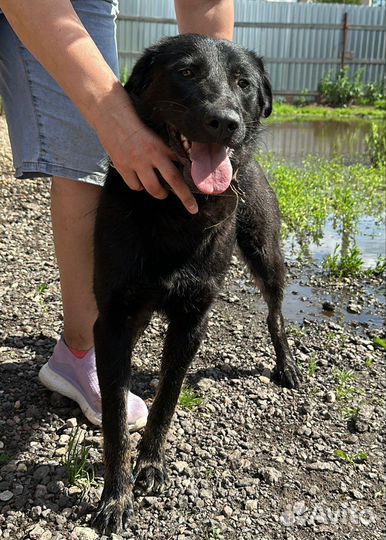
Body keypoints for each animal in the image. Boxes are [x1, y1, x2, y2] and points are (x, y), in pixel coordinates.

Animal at [92, 34, 302, 536]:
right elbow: (114, 419)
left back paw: (285, 364)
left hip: (266, 255)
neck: (174, 210)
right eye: (185, 72)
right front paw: (116, 496)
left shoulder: (191, 321)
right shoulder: (112, 321)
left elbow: (168, 397)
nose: (225, 123)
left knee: (275, 313)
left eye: (244, 84)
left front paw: (150, 463)